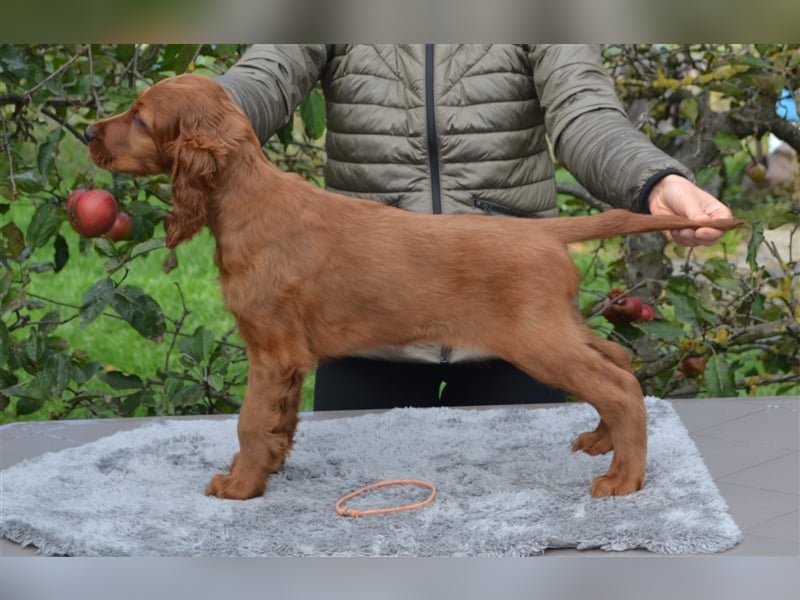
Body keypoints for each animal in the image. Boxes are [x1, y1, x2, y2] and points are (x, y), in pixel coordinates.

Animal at [86, 77, 744, 504]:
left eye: (140, 118)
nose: (91, 130)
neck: (245, 198)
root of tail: (546, 231)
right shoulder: (288, 359)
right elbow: (277, 420)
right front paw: (267, 469)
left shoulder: (270, 348)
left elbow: (250, 420)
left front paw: (240, 486)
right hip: (557, 326)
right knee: (616, 361)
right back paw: (601, 441)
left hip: (537, 339)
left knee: (620, 386)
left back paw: (623, 478)